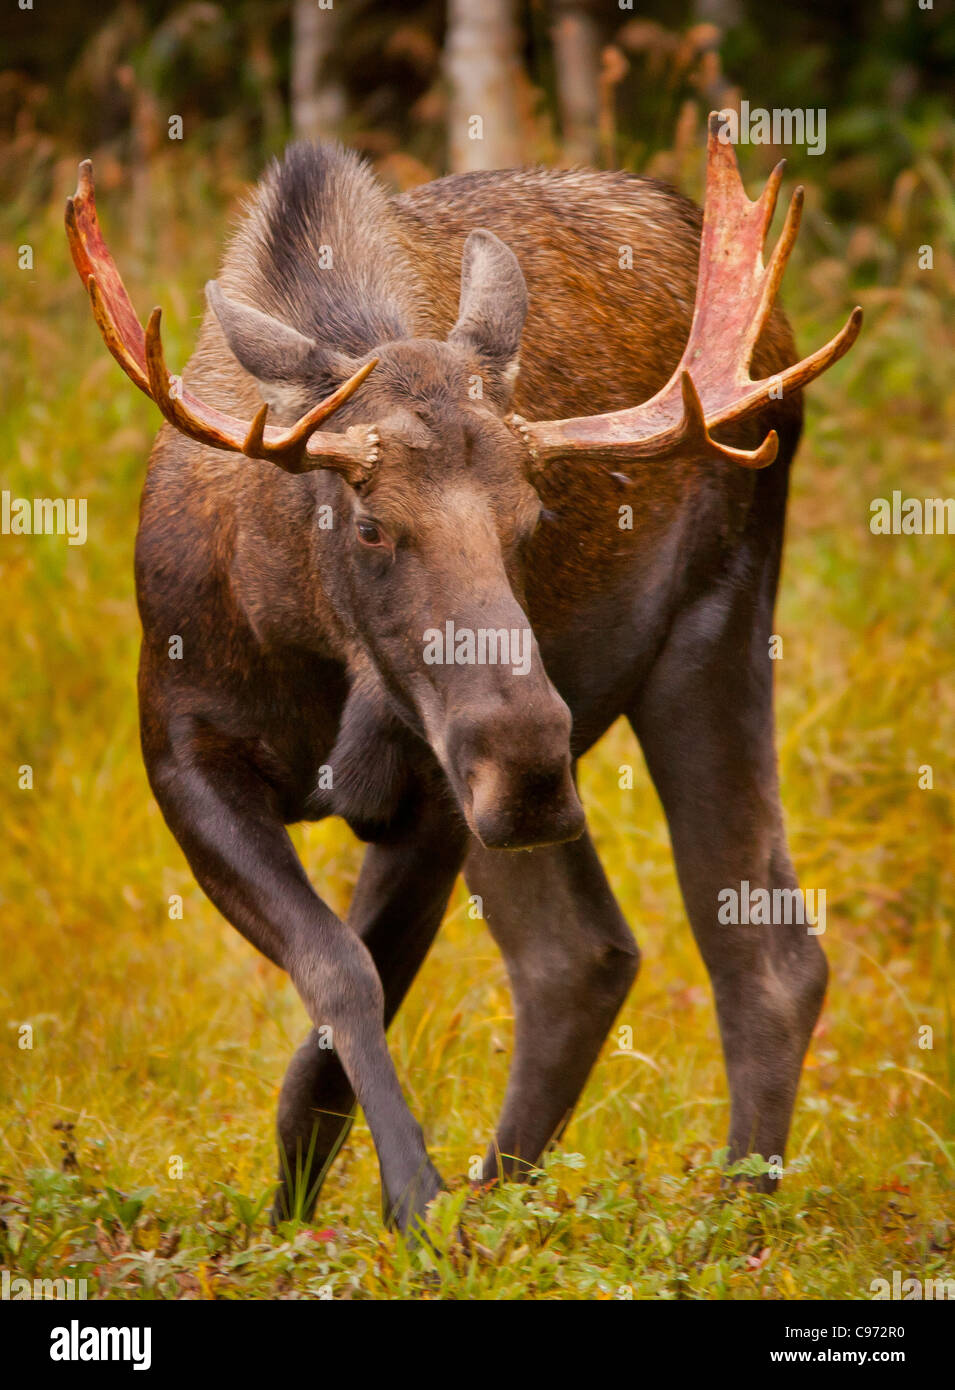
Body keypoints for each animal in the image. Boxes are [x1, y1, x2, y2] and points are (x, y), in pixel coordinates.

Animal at [66, 112, 861, 1233]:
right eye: (369, 522)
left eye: (532, 517)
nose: (527, 764)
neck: (307, 636)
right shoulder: (181, 754)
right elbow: (337, 973)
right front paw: (334, 1205)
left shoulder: (435, 800)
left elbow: (339, 1019)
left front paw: (401, 1203)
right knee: (588, 953)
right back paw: (519, 1197)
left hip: (706, 632)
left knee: (757, 950)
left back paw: (725, 1217)